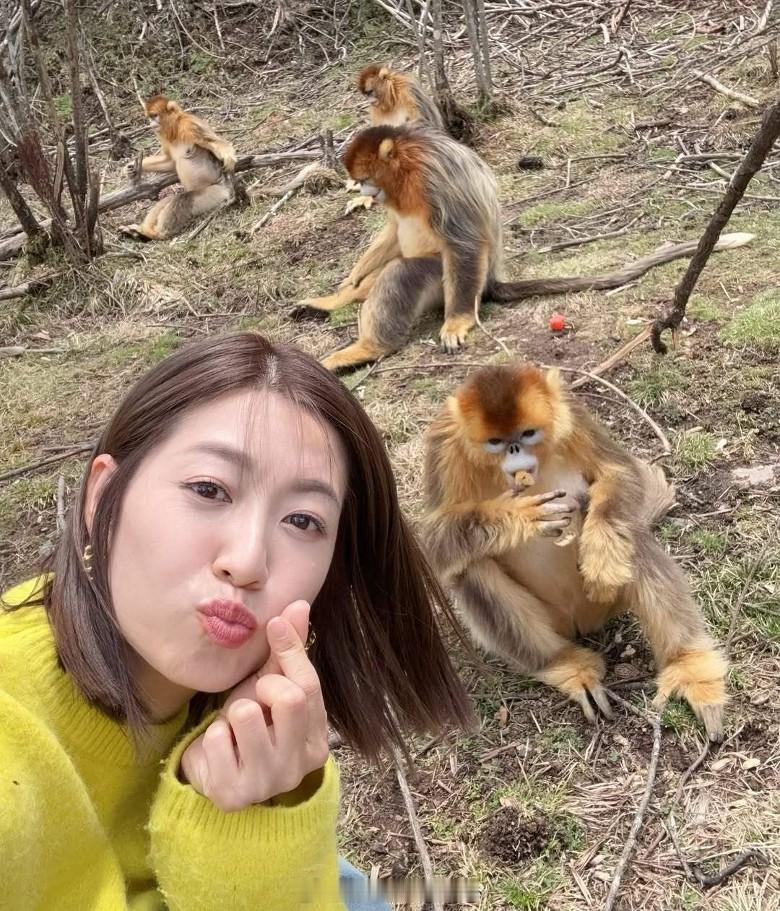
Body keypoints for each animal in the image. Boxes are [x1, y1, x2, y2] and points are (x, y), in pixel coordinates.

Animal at [119, 95, 237, 241]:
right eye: (149, 117)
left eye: (154, 115)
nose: (151, 123)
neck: (175, 130)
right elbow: (169, 162)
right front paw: (130, 167)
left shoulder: (190, 125)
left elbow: (216, 143)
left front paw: (229, 159)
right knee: (166, 201)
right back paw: (140, 231)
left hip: (217, 194)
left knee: (182, 199)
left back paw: (152, 233)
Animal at [296, 124, 752, 373]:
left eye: (365, 177)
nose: (363, 192)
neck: (406, 167)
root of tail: (492, 282)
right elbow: (392, 227)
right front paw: (348, 282)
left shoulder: (434, 176)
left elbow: (463, 239)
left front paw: (457, 323)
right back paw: (333, 300)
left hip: (448, 280)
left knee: (403, 274)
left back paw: (365, 348)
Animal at [420, 363, 728, 740]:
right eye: (495, 442)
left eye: (527, 433)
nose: (514, 451)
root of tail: (579, 623)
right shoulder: (444, 443)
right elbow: (435, 542)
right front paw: (519, 515)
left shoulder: (572, 412)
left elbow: (619, 472)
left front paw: (601, 549)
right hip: (553, 622)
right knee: (470, 565)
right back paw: (565, 666)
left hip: (602, 603)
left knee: (632, 534)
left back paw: (688, 667)